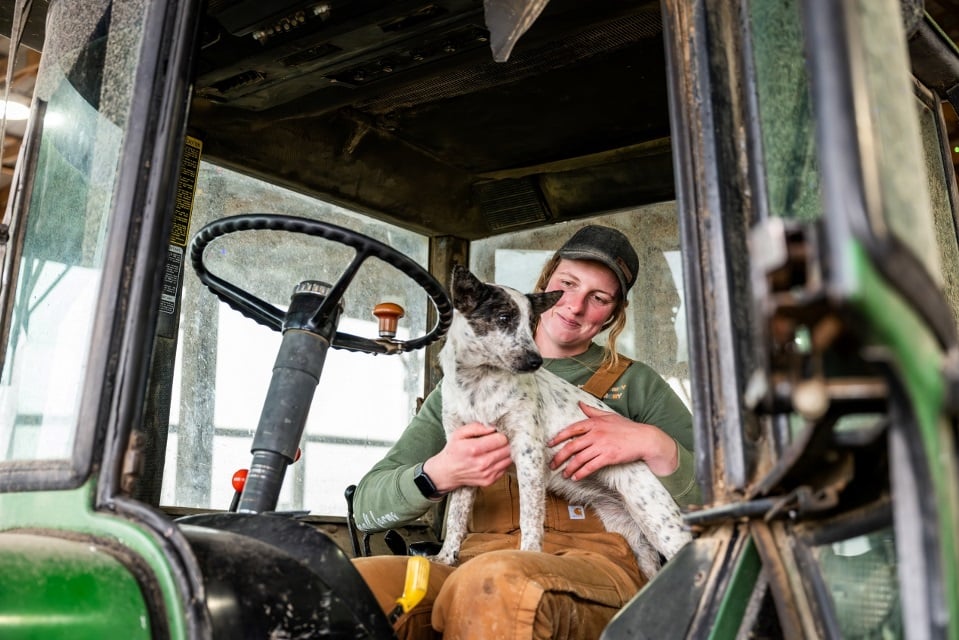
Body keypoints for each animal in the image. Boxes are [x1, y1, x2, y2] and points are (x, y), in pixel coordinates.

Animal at [434, 264, 688, 576]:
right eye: (504, 318)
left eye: (532, 322)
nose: (536, 361)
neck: (478, 383)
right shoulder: (465, 457)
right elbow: (456, 518)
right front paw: (446, 558)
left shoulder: (528, 454)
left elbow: (530, 518)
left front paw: (529, 555)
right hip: (630, 531)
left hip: (660, 523)